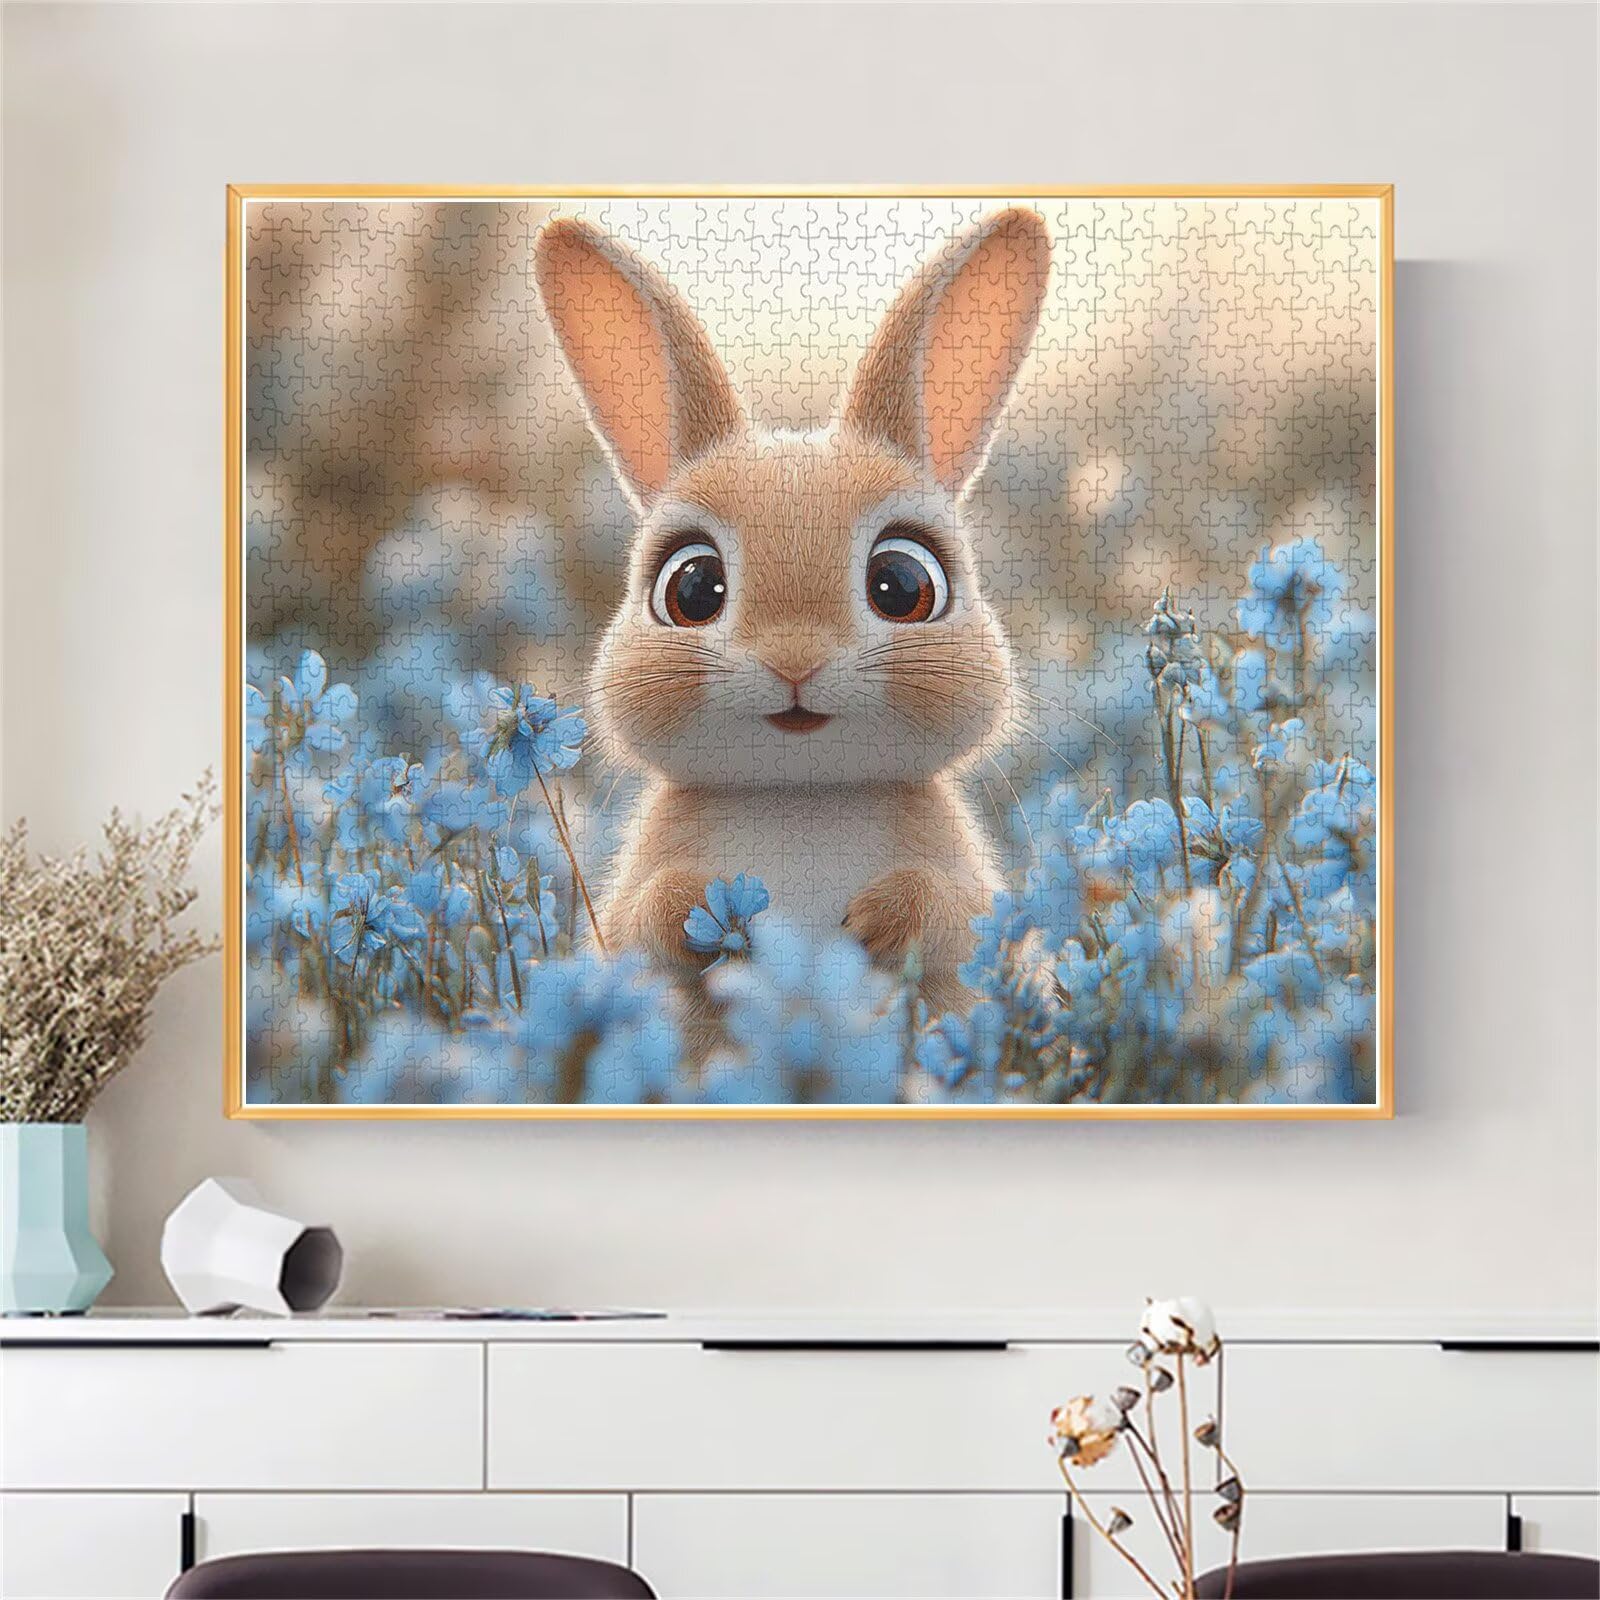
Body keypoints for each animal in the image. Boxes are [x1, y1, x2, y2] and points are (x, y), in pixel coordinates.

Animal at [533, 207, 1051, 1015]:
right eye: (691, 588)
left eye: (902, 583)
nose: (794, 661)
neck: (801, 795)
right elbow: (638, 918)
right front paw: (698, 912)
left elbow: (957, 914)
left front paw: (879, 920)